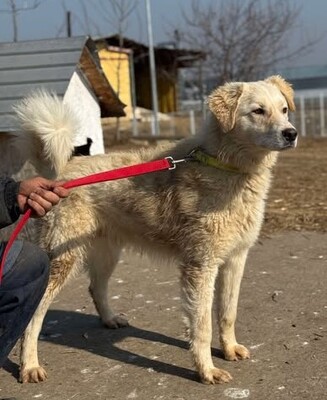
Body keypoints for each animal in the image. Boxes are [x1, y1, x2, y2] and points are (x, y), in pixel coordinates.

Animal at [14, 75, 298, 384]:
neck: (223, 165)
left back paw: (109, 319)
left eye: (284, 109)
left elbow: (227, 312)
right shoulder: (201, 266)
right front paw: (206, 370)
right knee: (34, 315)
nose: (291, 133)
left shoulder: (235, 260)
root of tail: (63, 172)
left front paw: (230, 349)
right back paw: (29, 365)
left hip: (107, 254)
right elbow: (202, 325)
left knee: (96, 286)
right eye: (258, 111)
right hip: (63, 261)